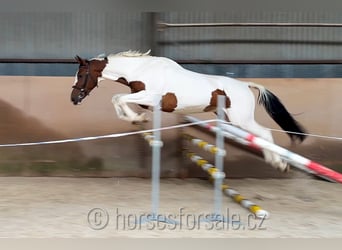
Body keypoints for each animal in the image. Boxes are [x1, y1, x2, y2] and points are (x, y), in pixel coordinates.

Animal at [71, 50, 306, 172]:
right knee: (259, 136)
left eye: (81, 75)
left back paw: (278, 163)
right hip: (230, 119)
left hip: (241, 119)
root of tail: (246, 85)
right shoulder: (145, 99)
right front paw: (137, 119)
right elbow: (118, 99)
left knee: (264, 134)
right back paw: (277, 162)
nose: (73, 99)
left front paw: (137, 118)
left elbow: (119, 98)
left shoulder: (150, 97)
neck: (141, 70)